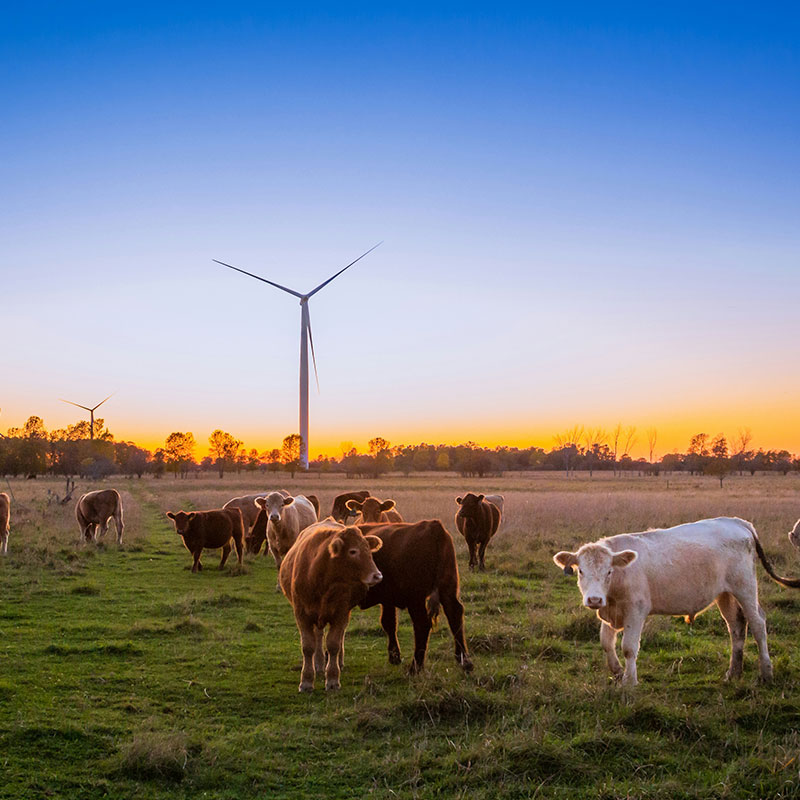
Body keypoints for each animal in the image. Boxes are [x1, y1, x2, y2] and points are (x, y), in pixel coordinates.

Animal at [280, 516, 382, 692]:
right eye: (353, 551)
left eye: (369, 550)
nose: (377, 575)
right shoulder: (302, 615)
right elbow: (308, 646)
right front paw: (306, 681)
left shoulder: (341, 612)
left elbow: (333, 644)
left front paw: (333, 679)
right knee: (318, 636)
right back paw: (319, 664)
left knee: (338, 637)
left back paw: (337, 662)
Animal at [358, 520, 476, 676]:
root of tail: (433, 526)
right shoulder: (387, 599)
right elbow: (389, 623)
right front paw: (394, 656)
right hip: (448, 590)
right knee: (455, 614)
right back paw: (464, 661)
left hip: (416, 599)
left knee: (422, 624)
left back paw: (415, 667)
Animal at [552, 520, 800, 688]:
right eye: (580, 571)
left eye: (609, 571)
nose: (594, 599)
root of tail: (736, 522)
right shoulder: (611, 611)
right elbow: (606, 643)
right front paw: (617, 672)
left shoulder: (635, 611)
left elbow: (629, 647)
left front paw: (629, 682)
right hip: (725, 594)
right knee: (736, 627)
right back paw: (733, 673)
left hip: (745, 588)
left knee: (758, 624)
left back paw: (766, 672)